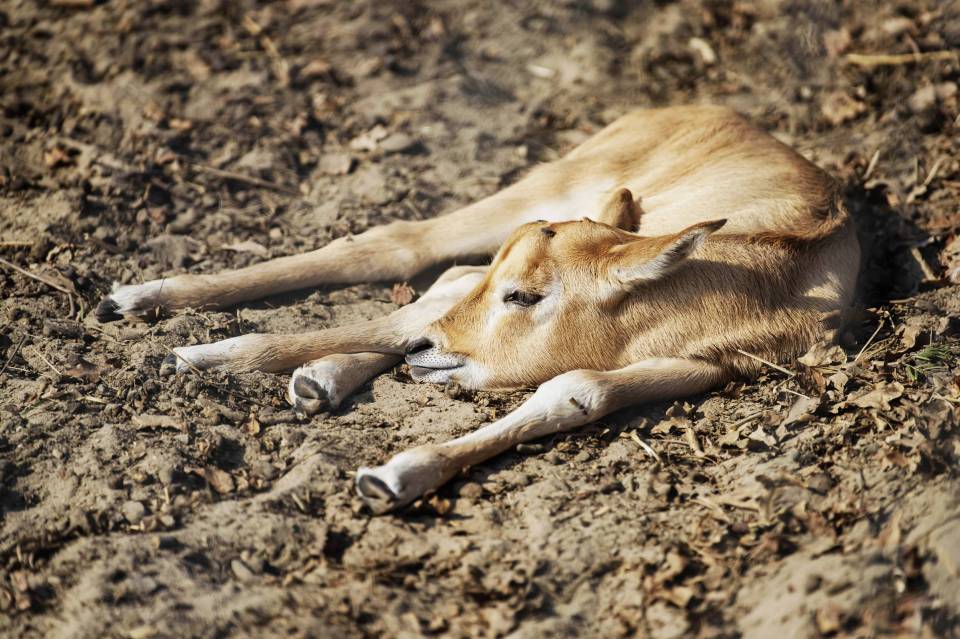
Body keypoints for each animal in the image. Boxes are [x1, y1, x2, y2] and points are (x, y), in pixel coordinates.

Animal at [99, 106, 864, 516]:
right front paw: (206, 354)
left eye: (525, 295)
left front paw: (398, 475)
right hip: (546, 187)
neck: (770, 275)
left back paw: (323, 377)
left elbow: (577, 391)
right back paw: (145, 297)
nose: (432, 352)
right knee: (405, 248)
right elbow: (412, 305)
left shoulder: (706, 363)